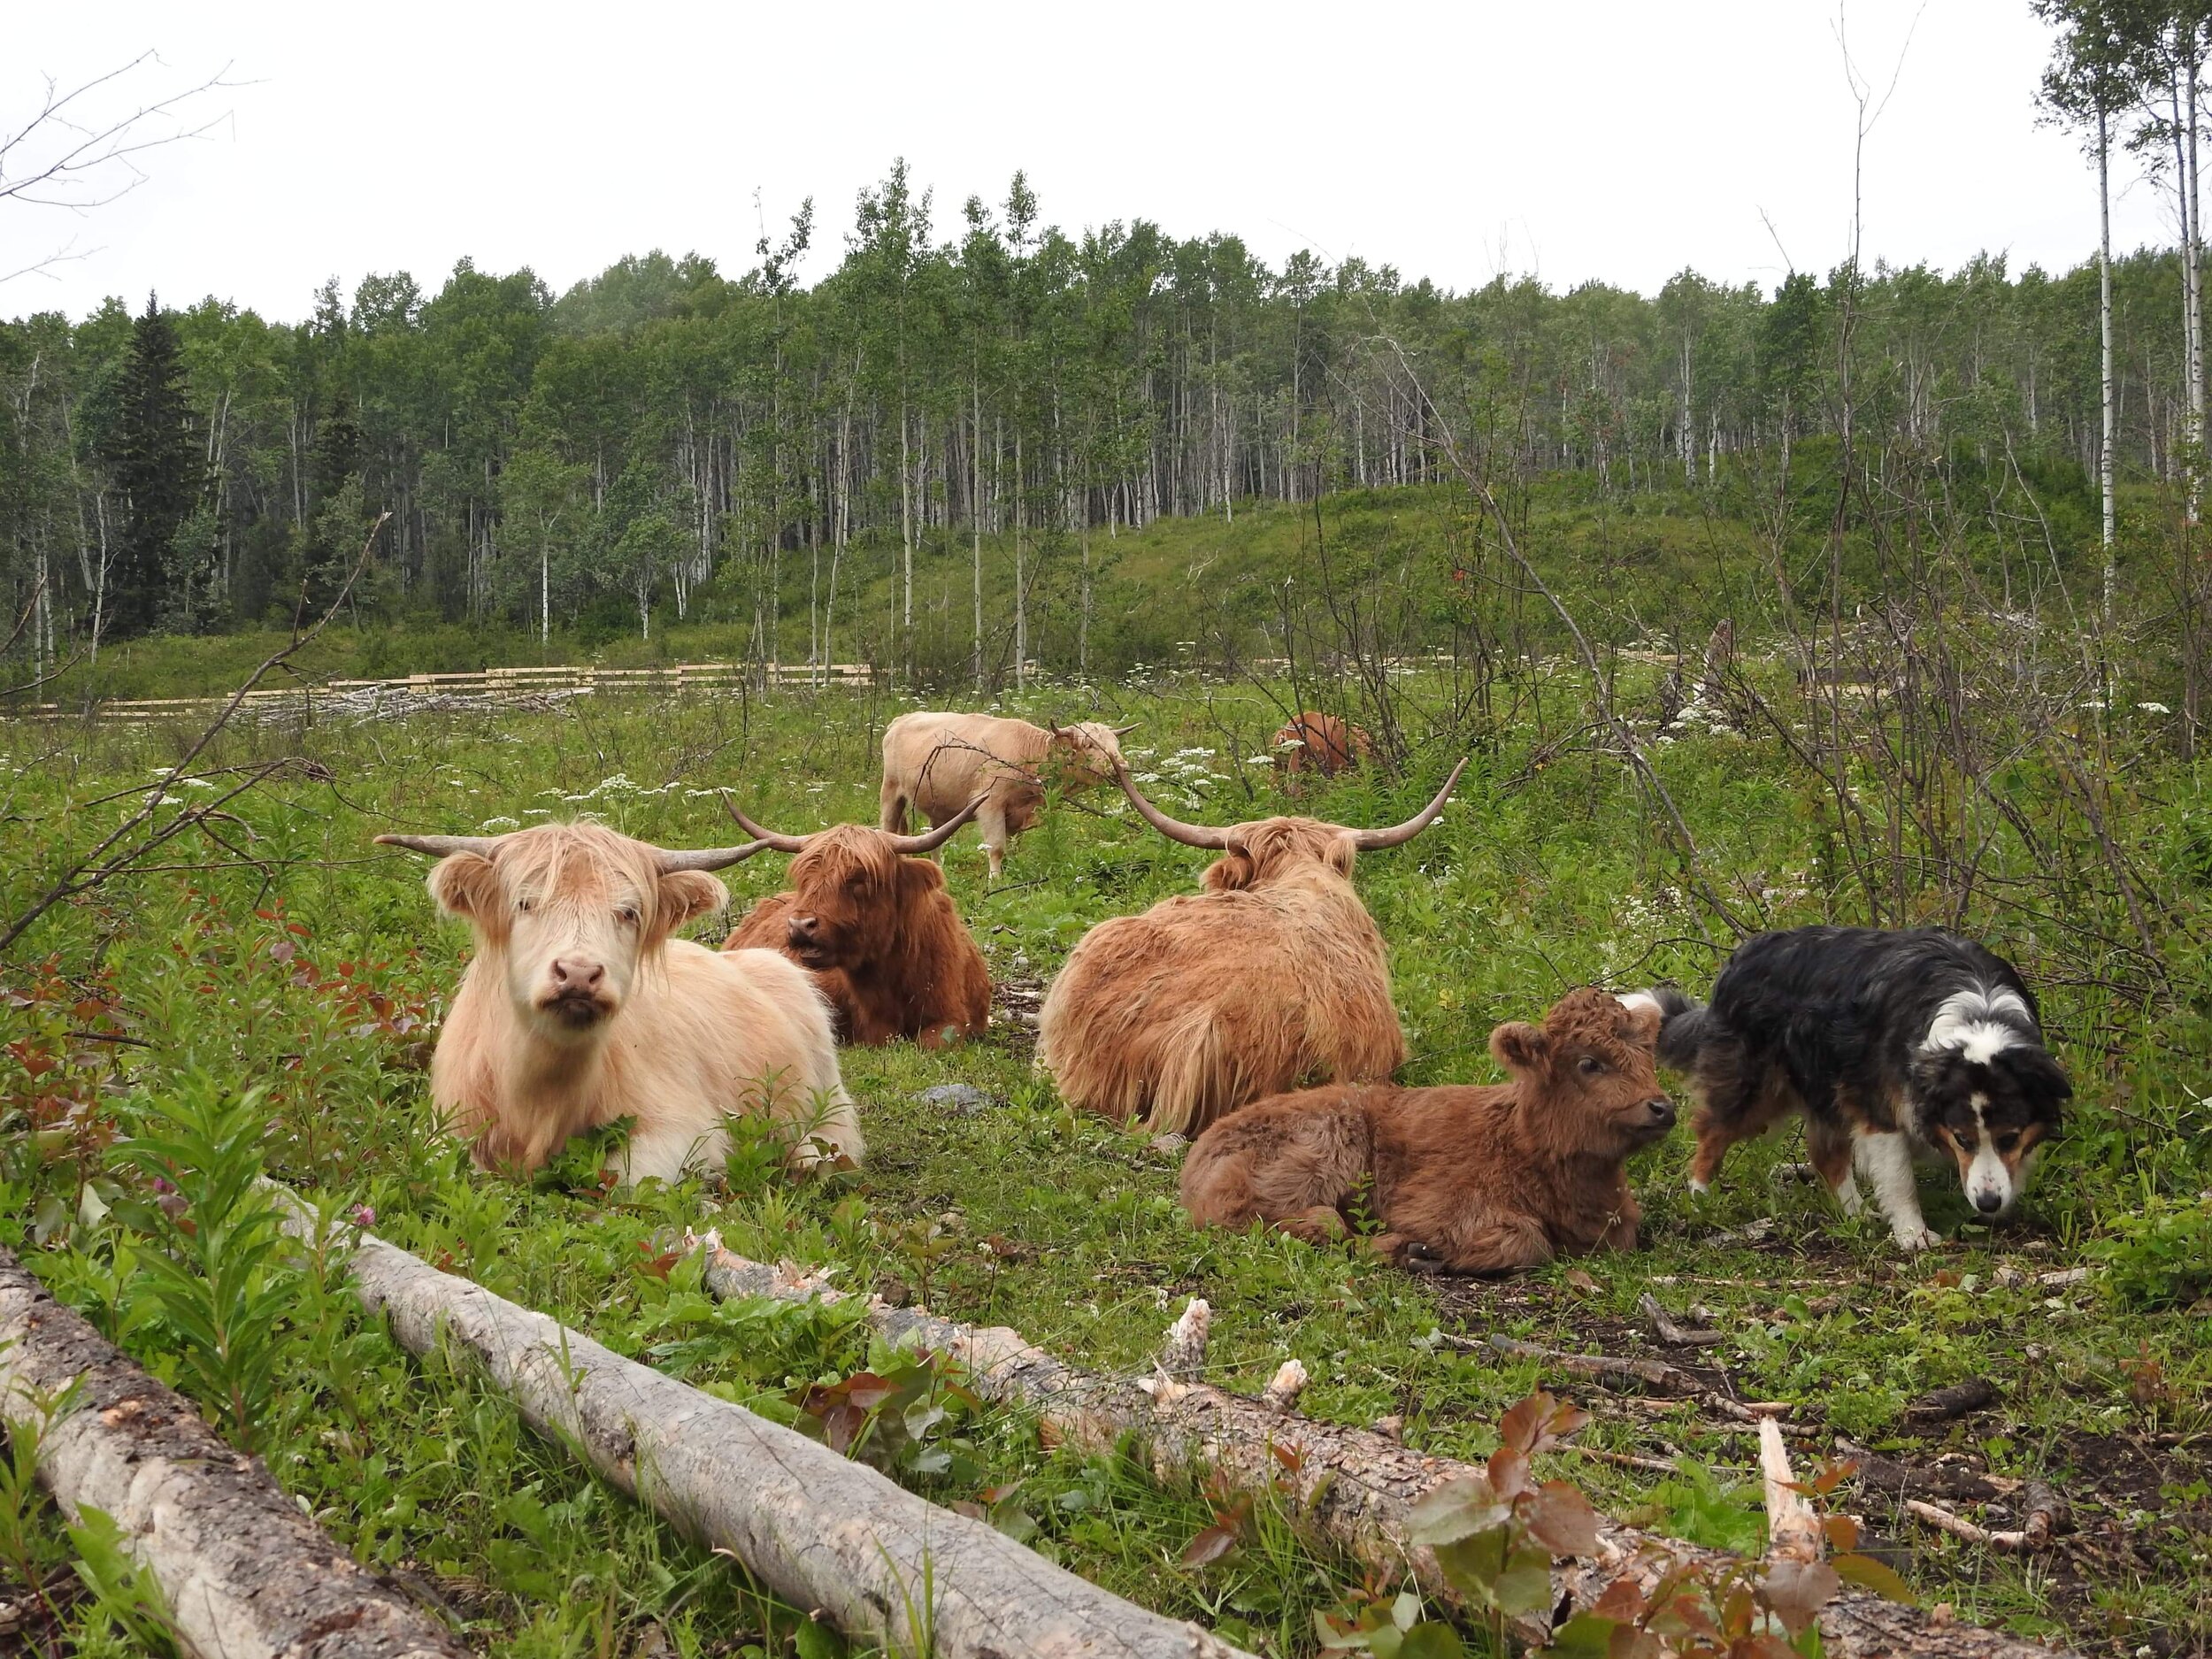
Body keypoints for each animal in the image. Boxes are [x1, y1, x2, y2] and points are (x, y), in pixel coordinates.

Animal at [876, 717, 1133, 885]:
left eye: (1116, 743)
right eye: (1089, 744)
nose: (1122, 766)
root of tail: (900, 720)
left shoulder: (1017, 813)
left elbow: (1014, 845)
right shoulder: (991, 805)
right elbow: (997, 848)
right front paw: (995, 880)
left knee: (934, 842)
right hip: (890, 793)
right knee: (889, 829)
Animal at [1177, 987, 1672, 1274]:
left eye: (1647, 1056)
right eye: (1589, 1063)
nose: (1662, 1108)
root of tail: (1206, 1145)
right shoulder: (1438, 1206)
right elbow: (1527, 1242)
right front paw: (1418, 1251)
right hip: (1323, 1148)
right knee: (1261, 1215)